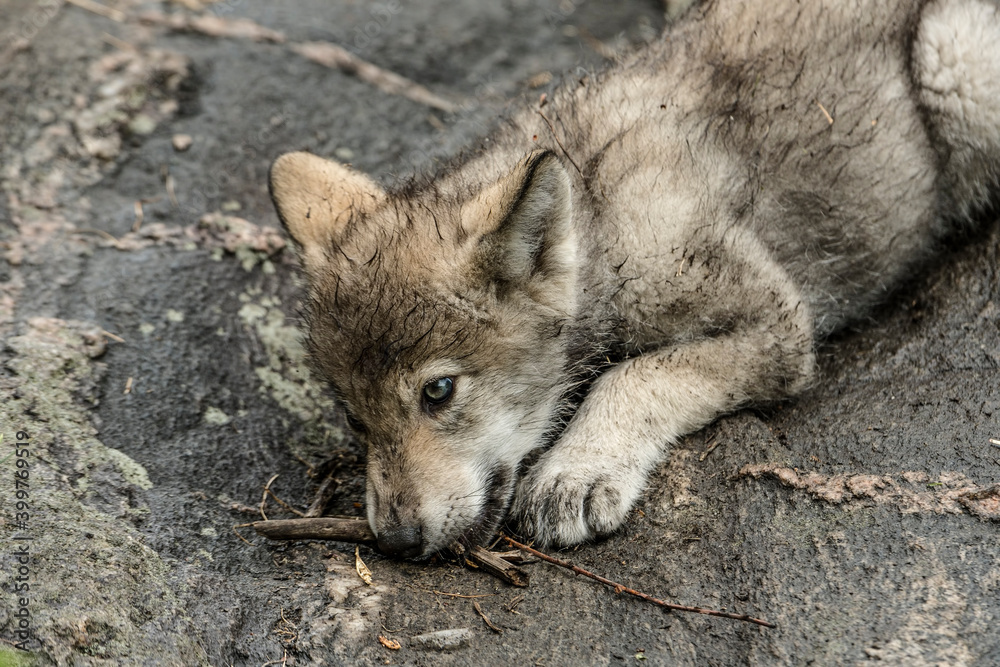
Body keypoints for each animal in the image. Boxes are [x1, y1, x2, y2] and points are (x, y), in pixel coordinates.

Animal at [269, 0, 1000, 559]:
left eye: (439, 392)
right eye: (354, 417)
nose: (394, 541)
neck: (601, 220)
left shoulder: (779, 325)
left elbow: (635, 373)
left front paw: (576, 471)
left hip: (957, 64)